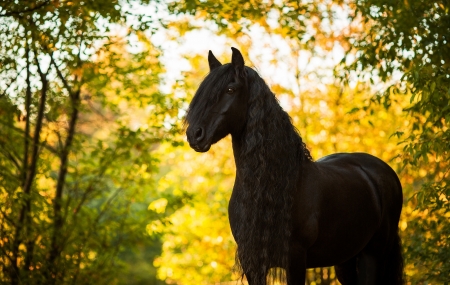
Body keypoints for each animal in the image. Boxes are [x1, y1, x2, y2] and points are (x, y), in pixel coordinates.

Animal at [185, 47, 402, 282]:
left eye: (230, 89)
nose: (194, 134)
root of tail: (383, 171)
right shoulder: (253, 263)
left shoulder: (295, 259)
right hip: (346, 259)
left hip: (373, 255)